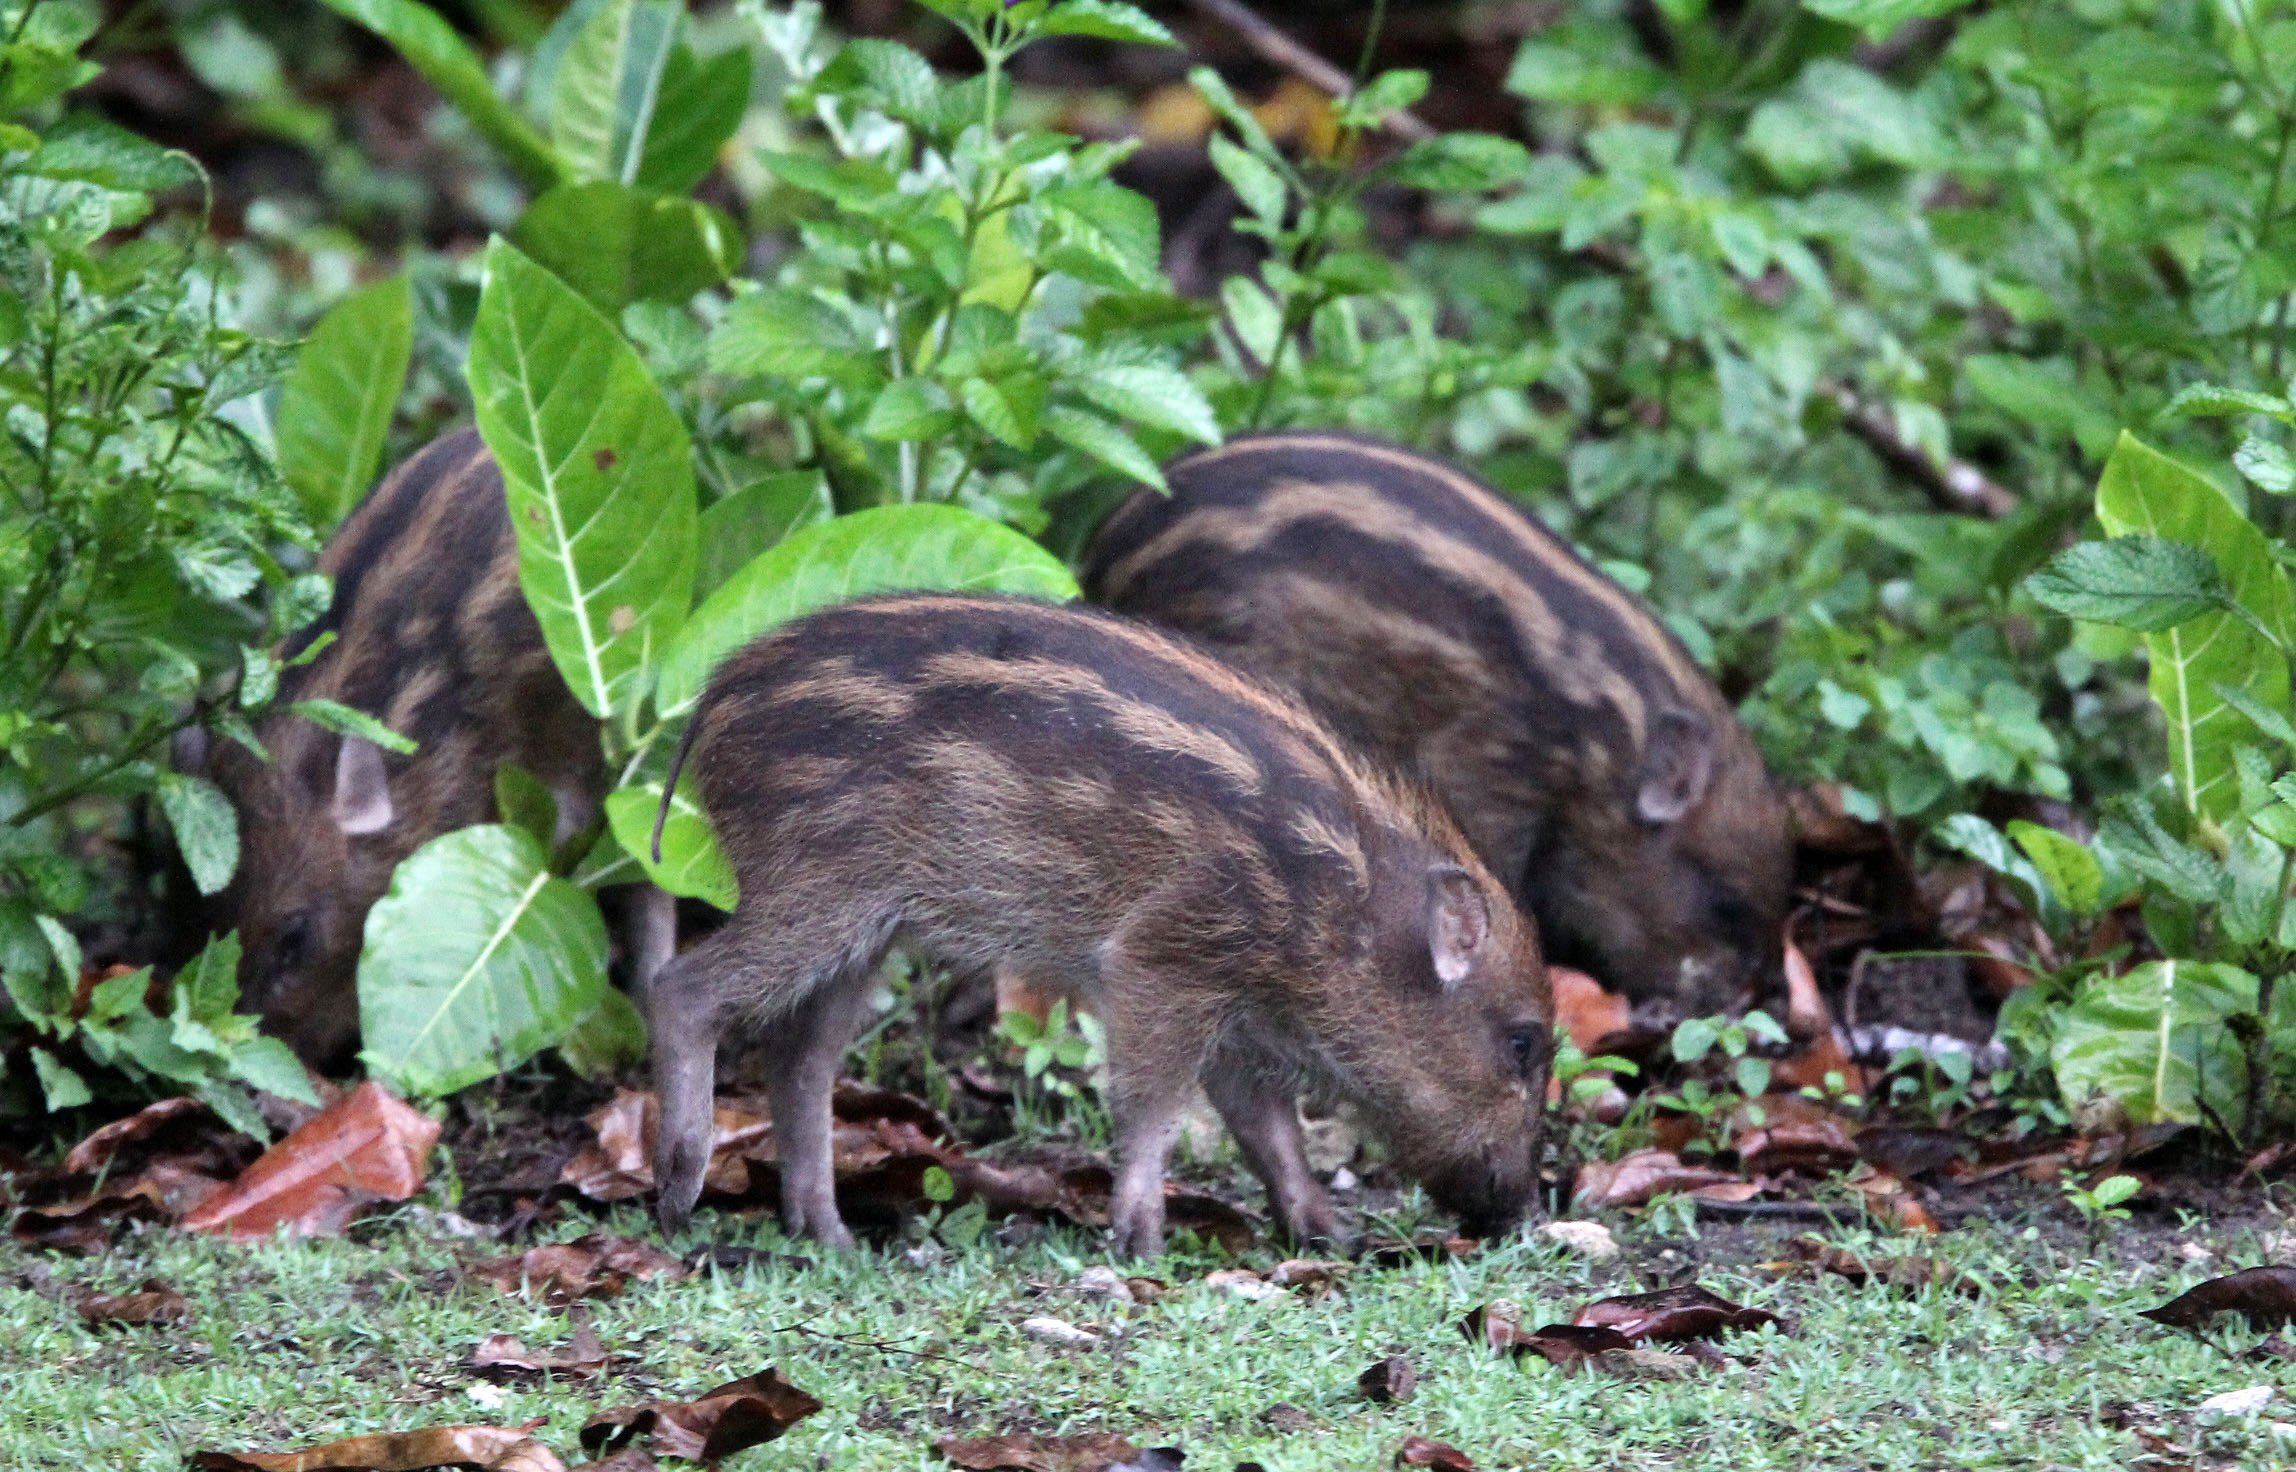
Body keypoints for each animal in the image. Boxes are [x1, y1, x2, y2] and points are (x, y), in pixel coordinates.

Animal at [646, 592, 1552, 1255]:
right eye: (1522, 1045)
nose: (1517, 1215)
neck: (1347, 904)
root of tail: (711, 704)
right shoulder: (1164, 958)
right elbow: (1153, 1110)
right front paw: (1142, 1242)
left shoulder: (1239, 1009)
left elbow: (1269, 1130)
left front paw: (1332, 1235)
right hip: (817, 887)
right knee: (681, 988)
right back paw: (678, 1196)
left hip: (864, 929)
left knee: (801, 1054)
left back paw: (830, 1236)